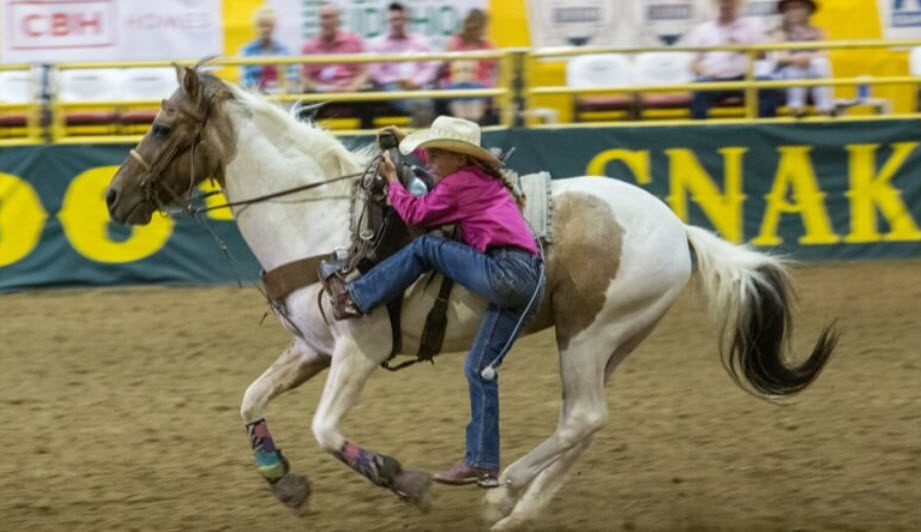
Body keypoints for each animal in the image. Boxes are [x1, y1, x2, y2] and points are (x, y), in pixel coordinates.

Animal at [104, 67, 836, 532]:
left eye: (163, 127)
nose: (113, 197)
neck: (323, 222)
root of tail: (679, 229)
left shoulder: (356, 351)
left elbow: (326, 430)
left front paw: (402, 480)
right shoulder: (309, 349)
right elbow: (250, 400)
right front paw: (282, 480)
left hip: (591, 335)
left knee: (581, 419)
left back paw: (501, 486)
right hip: (606, 341)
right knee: (584, 423)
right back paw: (515, 509)